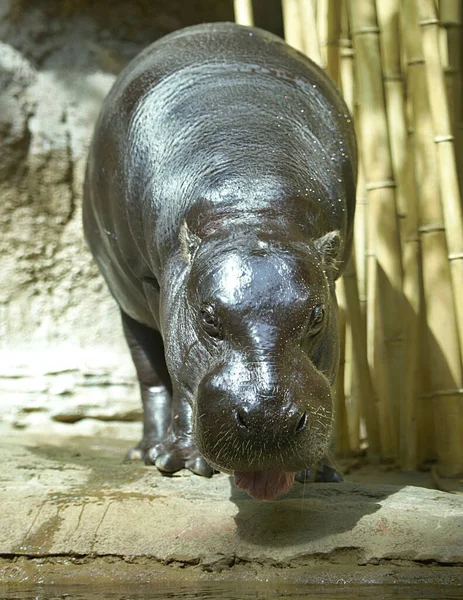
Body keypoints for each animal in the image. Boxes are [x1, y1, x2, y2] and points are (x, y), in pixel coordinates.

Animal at [83, 22, 358, 502]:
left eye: (317, 316)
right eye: (208, 319)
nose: (270, 421)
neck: (252, 202)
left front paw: (321, 471)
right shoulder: (159, 292)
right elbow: (179, 379)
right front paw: (182, 463)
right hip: (128, 300)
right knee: (152, 375)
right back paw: (148, 452)